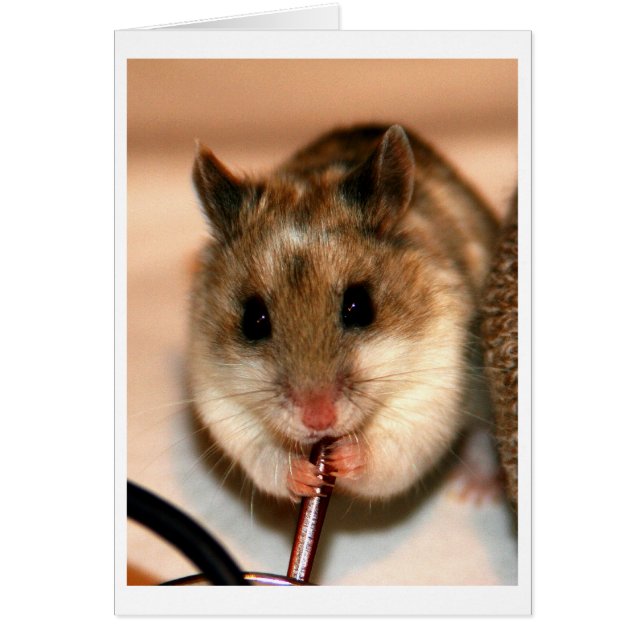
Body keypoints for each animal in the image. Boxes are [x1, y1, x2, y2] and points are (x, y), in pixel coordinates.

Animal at [189, 124, 499, 501]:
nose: (319, 421)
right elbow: (264, 455)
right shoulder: (221, 402)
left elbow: (387, 449)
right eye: (253, 320)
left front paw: (342, 456)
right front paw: (305, 475)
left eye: (359, 306)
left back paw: (472, 492)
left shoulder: (431, 390)